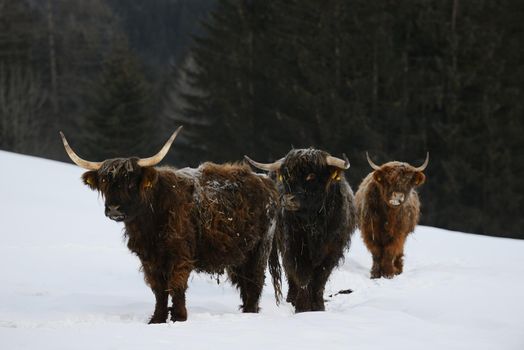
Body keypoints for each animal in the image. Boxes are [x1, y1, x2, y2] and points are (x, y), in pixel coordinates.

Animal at [59, 127, 280, 324]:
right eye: (105, 182)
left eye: (130, 182)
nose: (114, 208)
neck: (149, 221)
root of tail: (265, 182)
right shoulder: (149, 258)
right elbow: (159, 289)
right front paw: (157, 319)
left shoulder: (180, 254)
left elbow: (176, 285)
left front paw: (179, 317)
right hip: (239, 255)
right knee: (245, 284)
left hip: (258, 249)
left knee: (254, 282)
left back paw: (250, 314)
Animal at [245, 149, 358, 314]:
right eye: (287, 176)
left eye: (311, 176)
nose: (288, 199)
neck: (314, 223)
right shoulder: (294, 245)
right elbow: (302, 275)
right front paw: (303, 308)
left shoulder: (332, 250)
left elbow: (320, 277)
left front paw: (318, 306)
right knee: (290, 272)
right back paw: (292, 299)